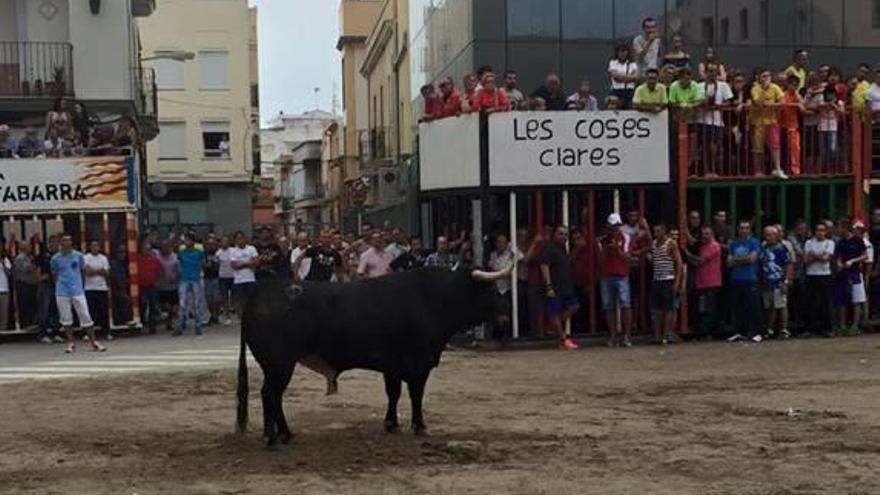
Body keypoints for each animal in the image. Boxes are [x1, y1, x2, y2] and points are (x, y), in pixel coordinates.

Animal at [235, 268, 508, 450]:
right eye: (491, 290)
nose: (506, 312)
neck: (433, 298)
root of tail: (261, 290)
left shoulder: (393, 366)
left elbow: (393, 393)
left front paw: (391, 424)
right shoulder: (418, 365)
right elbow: (416, 395)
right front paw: (419, 426)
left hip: (278, 366)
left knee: (274, 397)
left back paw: (285, 434)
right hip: (280, 365)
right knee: (270, 395)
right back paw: (273, 438)